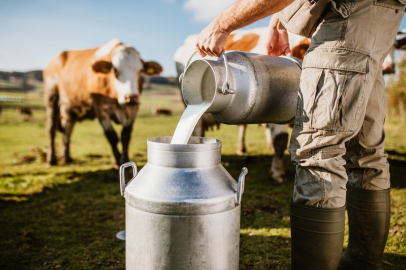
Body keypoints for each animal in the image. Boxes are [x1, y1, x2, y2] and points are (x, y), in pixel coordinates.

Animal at [44, 38, 163, 167]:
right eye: (115, 70)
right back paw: (51, 159)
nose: (131, 97)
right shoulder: (101, 109)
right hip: (52, 98)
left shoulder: (133, 109)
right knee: (51, 129)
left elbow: (125, 136)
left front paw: (125, 160)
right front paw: (117, 161)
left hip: (70, 109)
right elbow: (112, 136)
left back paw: (66, 157)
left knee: (67, 130)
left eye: (141, 70)